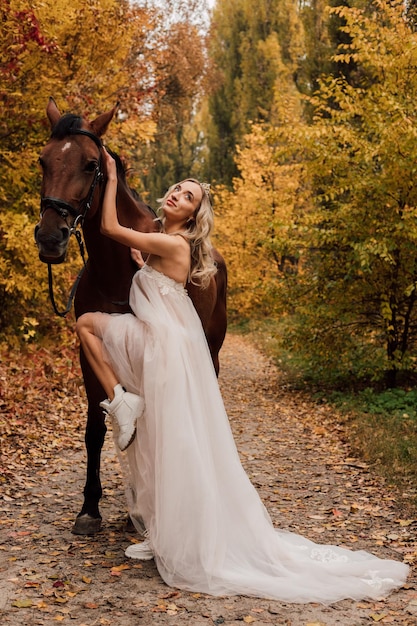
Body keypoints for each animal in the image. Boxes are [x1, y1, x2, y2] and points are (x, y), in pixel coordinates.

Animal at [35, 97, 228, 532]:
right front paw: (89, 508)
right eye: (43, 160)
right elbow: (94, 429)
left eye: (91, 164)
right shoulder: (88, 355)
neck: (115, 266)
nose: (50, 238)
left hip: (209, 351)